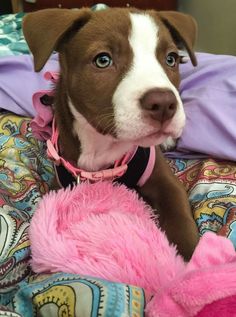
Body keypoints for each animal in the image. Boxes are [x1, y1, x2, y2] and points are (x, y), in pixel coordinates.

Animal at [22, 7, 199, 260]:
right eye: (103, 60)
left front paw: (196, 261)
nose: (164, 104)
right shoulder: (61, 184)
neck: (103, 147)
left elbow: (180, 218)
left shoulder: (166, 181)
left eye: (171, 59)